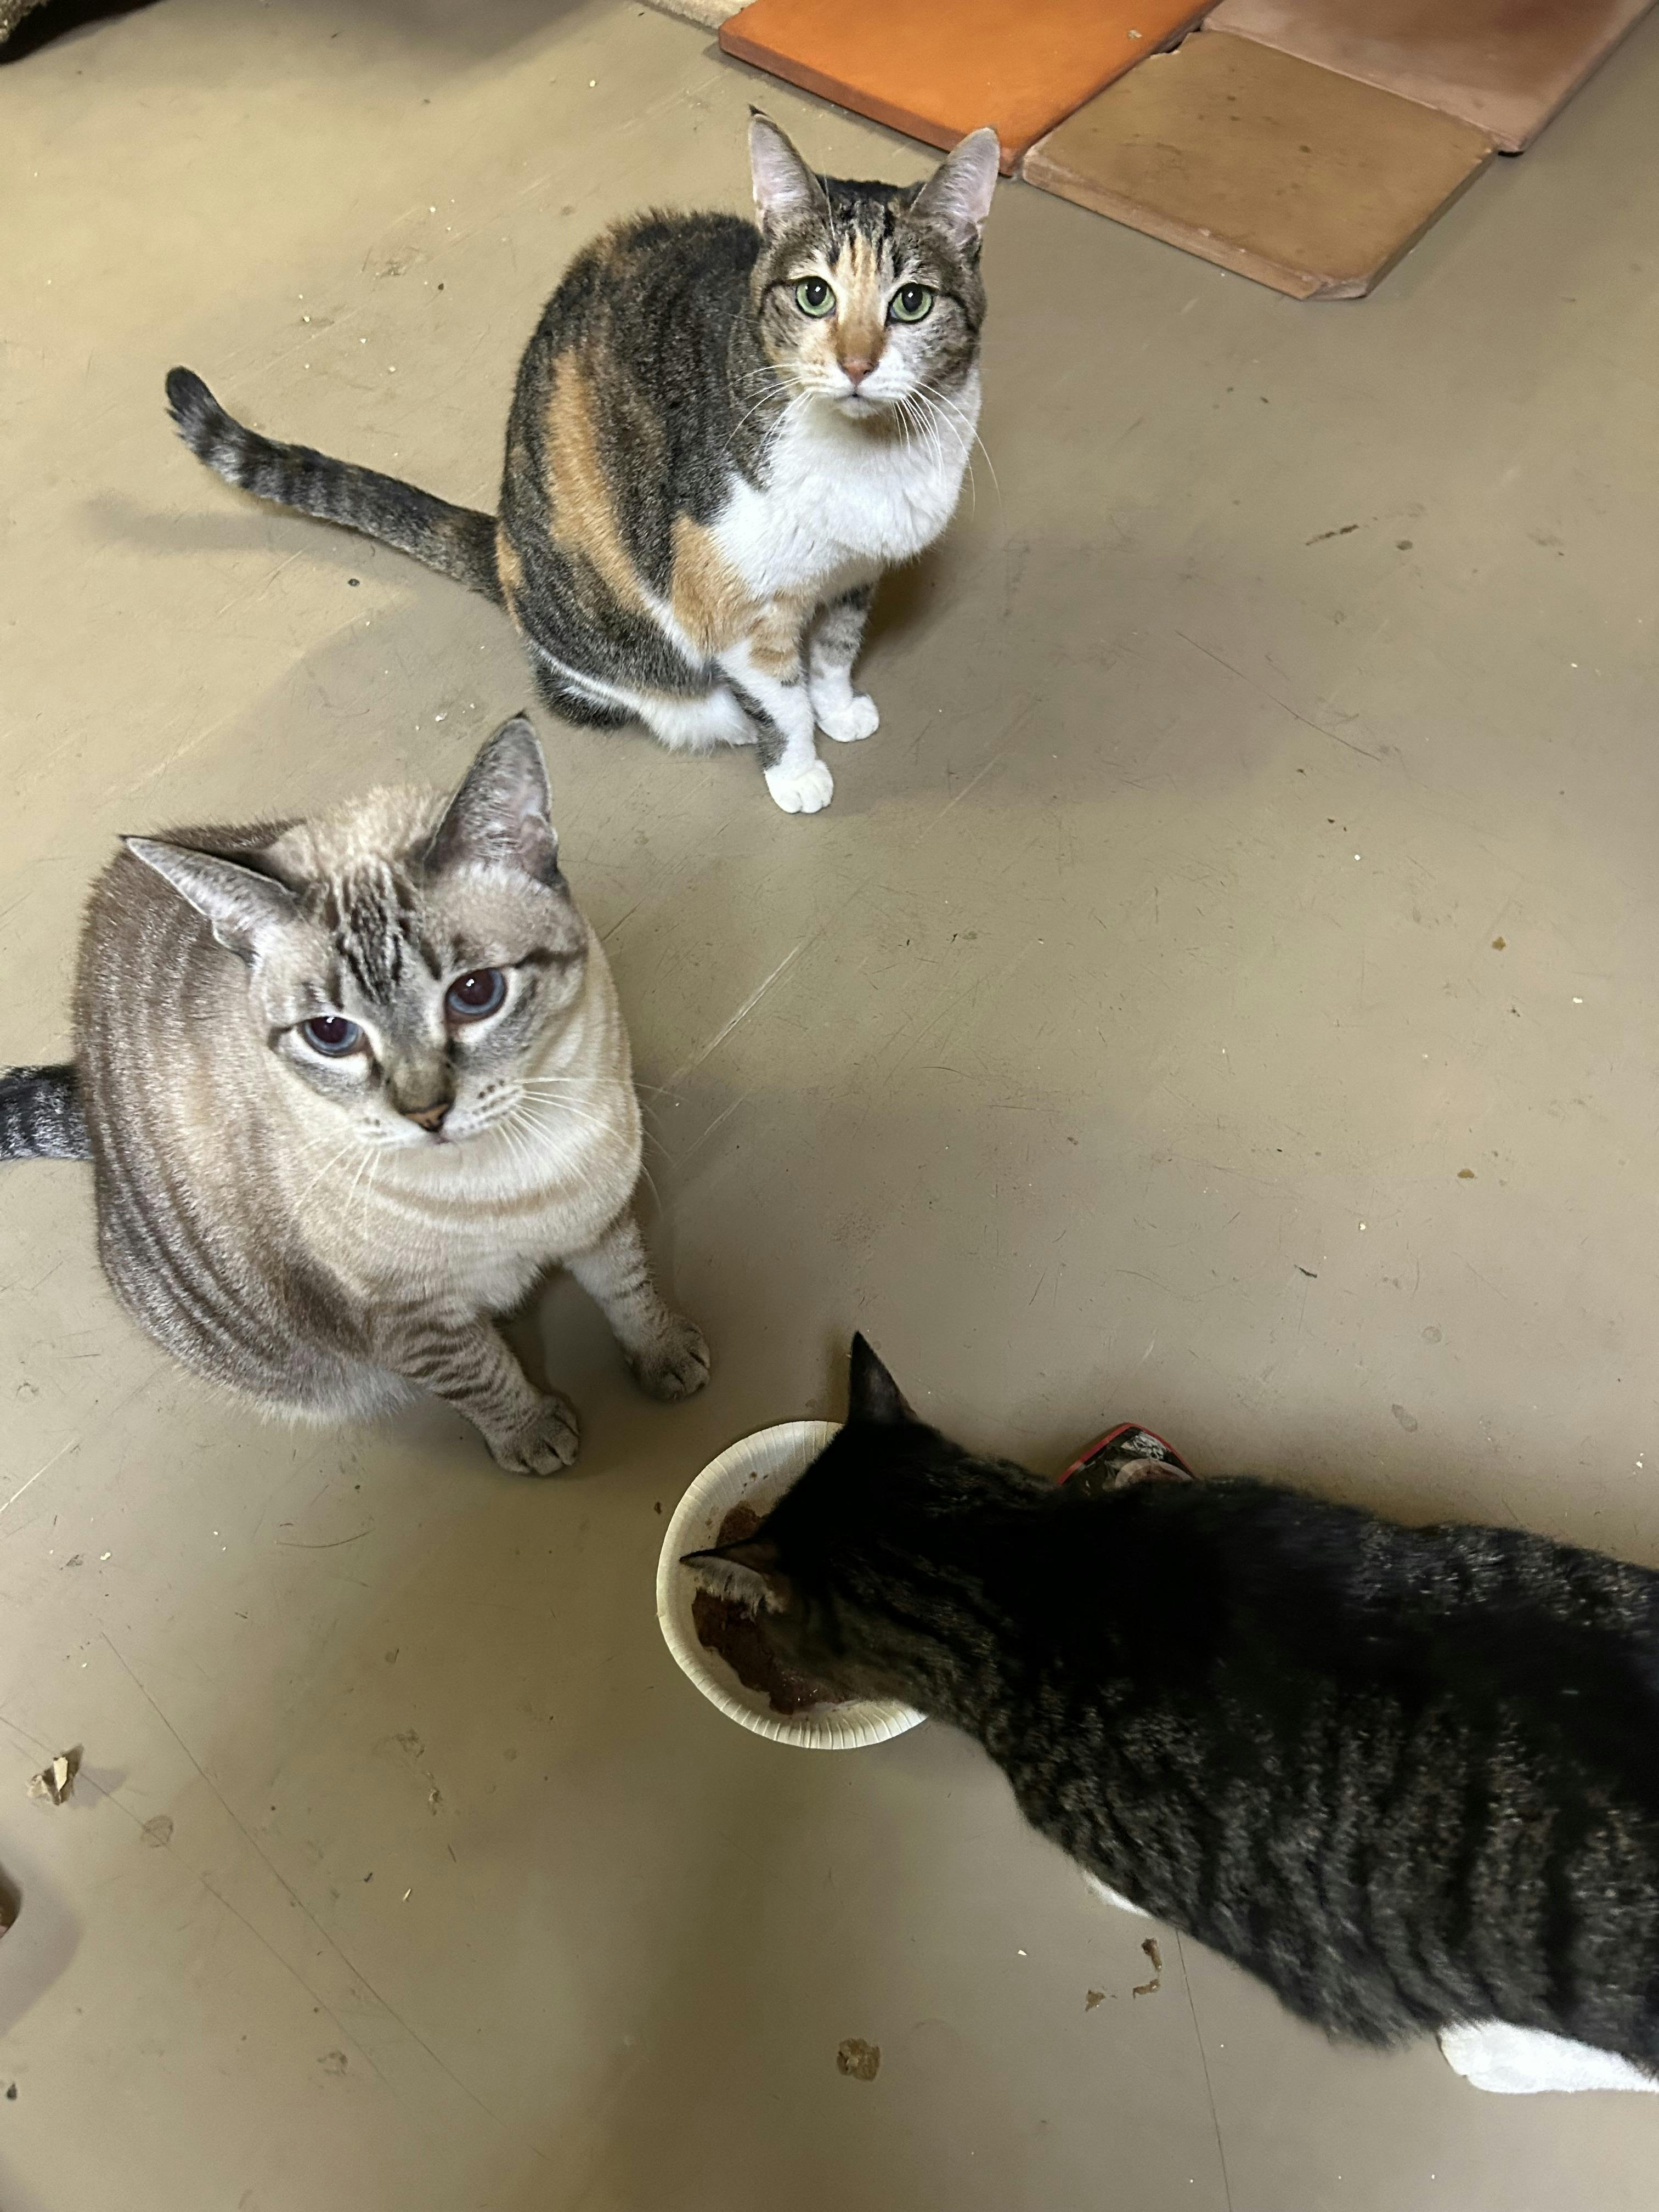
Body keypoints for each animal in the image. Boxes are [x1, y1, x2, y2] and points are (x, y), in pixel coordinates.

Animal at [0, 716, 708, 1471]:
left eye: (475, 993)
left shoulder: (599, 1215)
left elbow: (630, 1292)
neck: (515, 1176)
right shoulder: (414, 1326)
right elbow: (483, 1377)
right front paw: (533, 1436)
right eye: (332, 1034)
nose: (427, 1113)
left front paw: (666, 1357)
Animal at [161, 114, 1000, 818]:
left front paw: (842, 707)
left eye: (912, 302)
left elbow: (833, 652)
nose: (858, 364)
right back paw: (715, 718)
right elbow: (783, 699)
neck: (872, 458)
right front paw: (798, 772)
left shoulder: (856, 574)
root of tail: (502, 536)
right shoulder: (732, 610)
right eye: (815, 295)